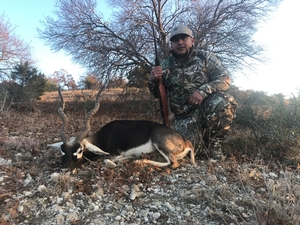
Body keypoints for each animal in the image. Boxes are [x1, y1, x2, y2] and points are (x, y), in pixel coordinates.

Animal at [48, 89, 196, 170]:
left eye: (80, 150)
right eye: (62, 151)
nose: (65, 168)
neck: (102, 138)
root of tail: (187, 142)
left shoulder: (113, 153)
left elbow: (110, 160)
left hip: (159, 142)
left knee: (174, 164)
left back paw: (139, 161)